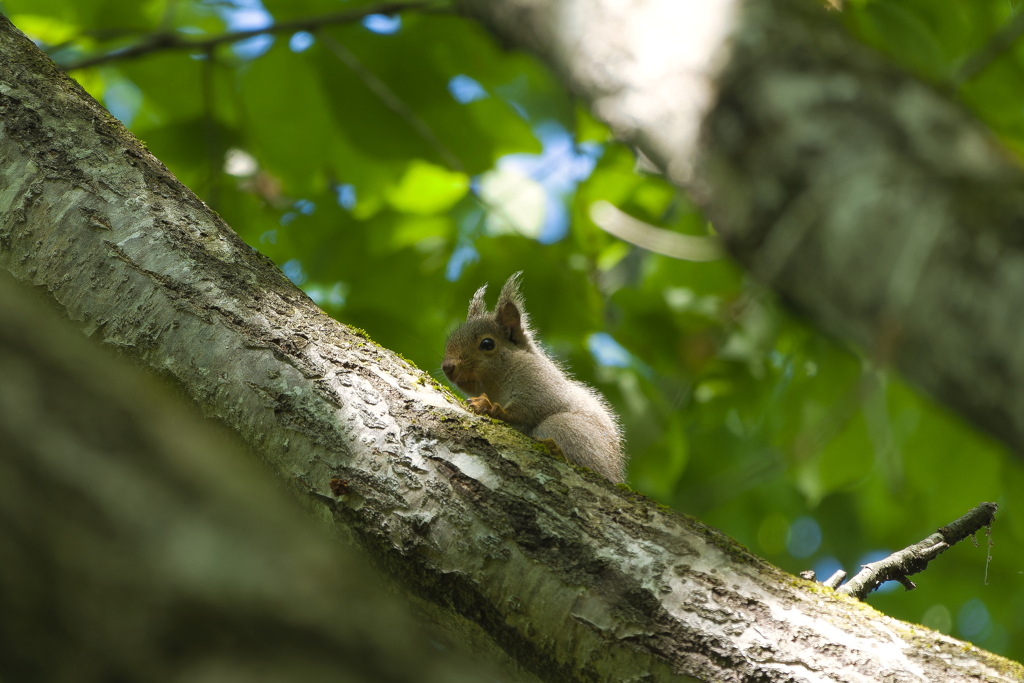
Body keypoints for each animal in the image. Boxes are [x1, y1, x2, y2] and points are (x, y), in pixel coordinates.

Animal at [444, 270, 626, 483]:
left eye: (487, 344)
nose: (447, 366)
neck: (495, 386)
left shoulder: (539, 382)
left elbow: (529, 408)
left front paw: (490, 407)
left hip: (564, 428)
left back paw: (556, 450)